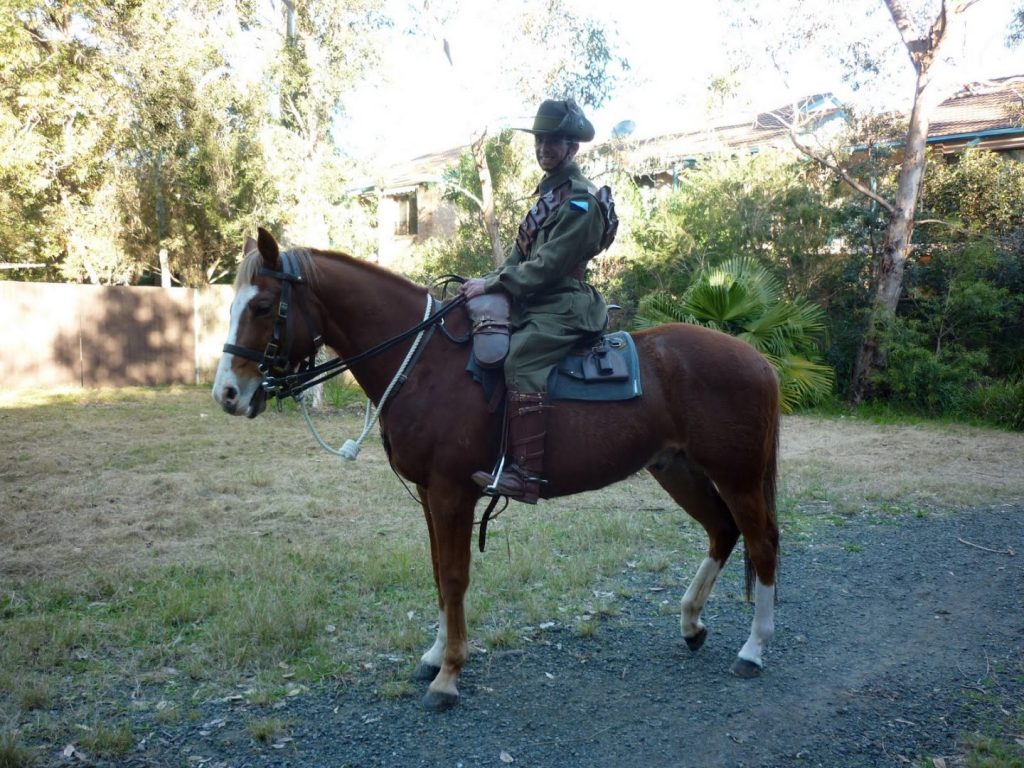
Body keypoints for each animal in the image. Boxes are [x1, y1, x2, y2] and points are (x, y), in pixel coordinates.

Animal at [213, 228, 781, 711]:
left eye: (262, 306)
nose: (228, 394)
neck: (426, 363)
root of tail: (758, 360)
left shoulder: (451, 492)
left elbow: (455, 575)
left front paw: (449, 674)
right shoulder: (431, 494)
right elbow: (439, 571)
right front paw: (434, 655)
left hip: (738, 476)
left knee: (762, 544)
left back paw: (753, 649)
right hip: (677, 470)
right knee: (722, 531)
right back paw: (691, 624)